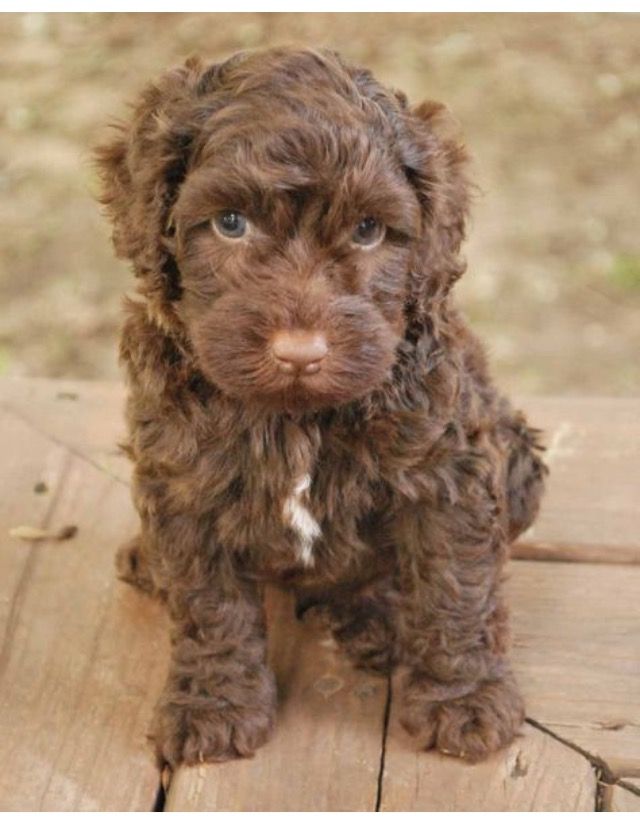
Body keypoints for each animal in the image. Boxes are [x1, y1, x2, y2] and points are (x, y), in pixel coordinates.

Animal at [95, 48, 544, 768]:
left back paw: (377, 619)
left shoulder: (450, 472)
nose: (300, 353)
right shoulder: (181, 483)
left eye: (367, 231)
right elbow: (208, 603)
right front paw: (213, 704)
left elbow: (454, 587)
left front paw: (463, 700)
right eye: (230, 223)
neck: (295, 415)